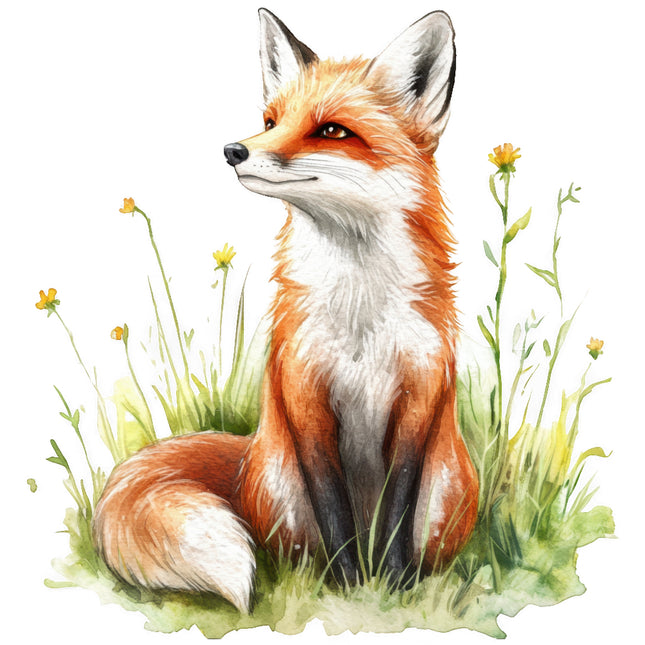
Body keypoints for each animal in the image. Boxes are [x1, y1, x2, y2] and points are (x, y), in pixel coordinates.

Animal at [92, 8, 479, 613]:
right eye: (270, 120)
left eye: (333, 131)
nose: (233, 150)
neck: (358, 312)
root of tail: (245, 460)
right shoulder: (305, 396)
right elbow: (334, 513)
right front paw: (350, 587)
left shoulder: (419, 399)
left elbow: (395, 513)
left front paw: (392, 591)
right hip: (280, 483)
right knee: (294, 552)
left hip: (447, 488)